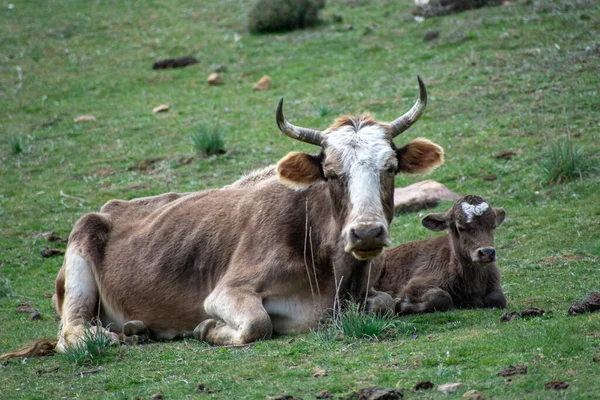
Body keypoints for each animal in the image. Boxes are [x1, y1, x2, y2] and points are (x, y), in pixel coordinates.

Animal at [1, 76, 446, 358]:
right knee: (72, 334)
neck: (333, 272)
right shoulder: (225, 292)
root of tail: (107, 209)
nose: (367, 232)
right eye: (333, 174)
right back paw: (114, 337)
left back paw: (136, 330)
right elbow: (257, 323)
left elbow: (385, 302)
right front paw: (207, 330)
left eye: (390, 167)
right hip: (78, 263)